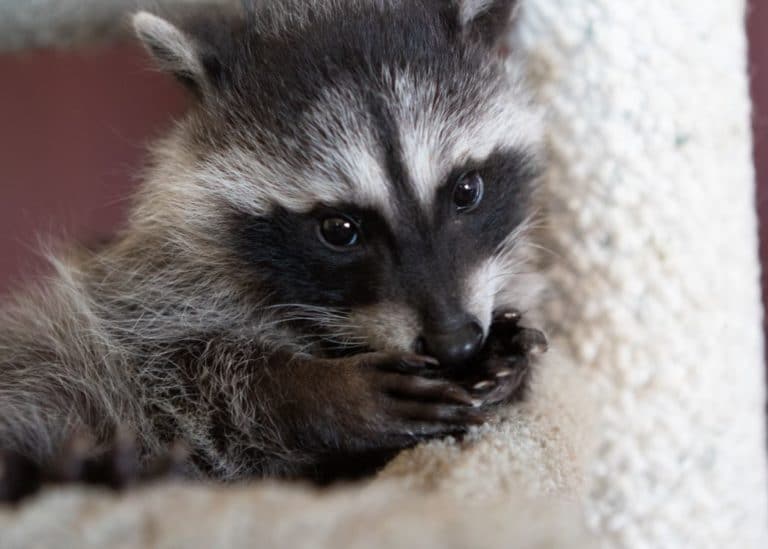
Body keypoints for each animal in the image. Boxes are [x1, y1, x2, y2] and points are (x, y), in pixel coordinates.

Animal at [0, 0, 544, 496]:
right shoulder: (135, 296)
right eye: (339, 230)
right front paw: (317, 393)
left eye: (467, 190)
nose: (457, 342)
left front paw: (506, 360)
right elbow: (176, 376)